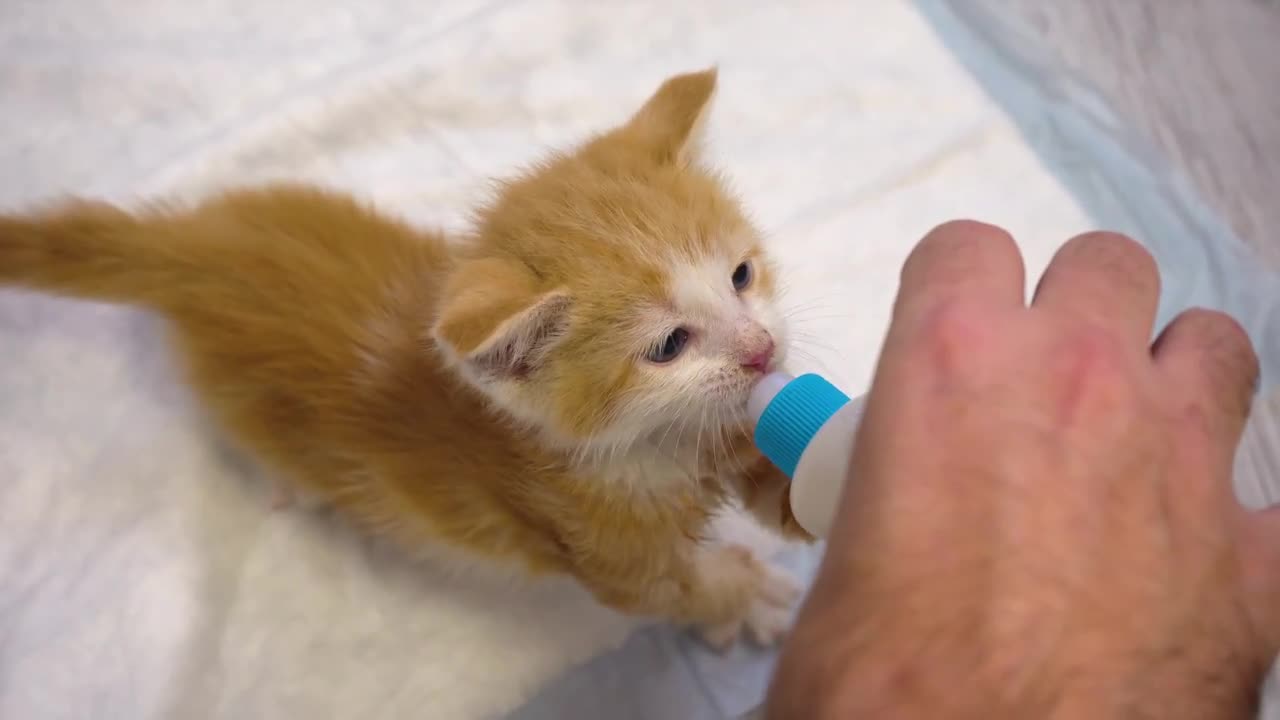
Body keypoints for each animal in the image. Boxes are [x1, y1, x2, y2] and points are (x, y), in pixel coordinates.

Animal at [2, 70, 808, 648]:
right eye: (668, 346)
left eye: (741, 275)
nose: (763, 349)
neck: (654, 447)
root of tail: (196, 248)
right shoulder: (592, 543)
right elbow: (670, 590)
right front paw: (743, 595)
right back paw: (293, 486)